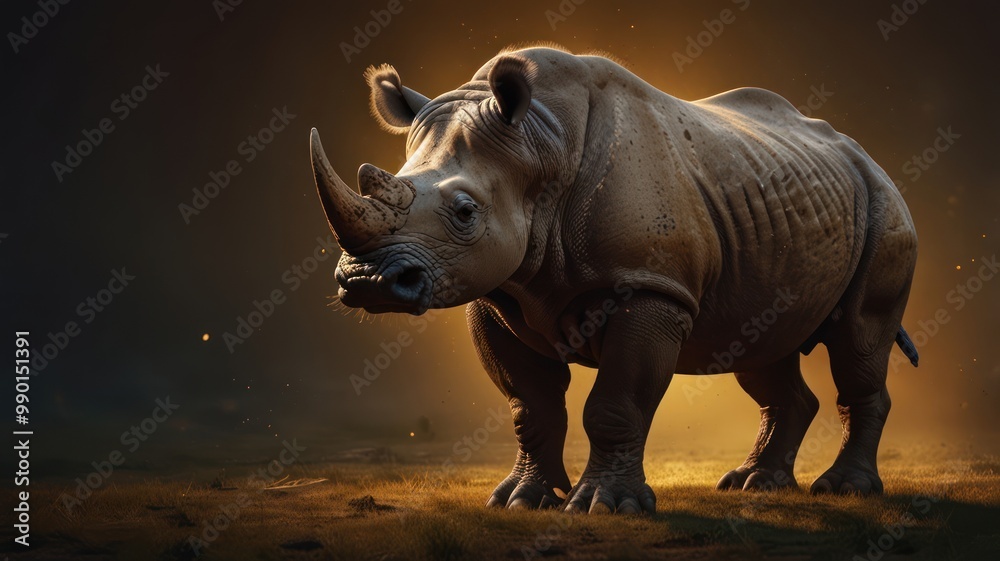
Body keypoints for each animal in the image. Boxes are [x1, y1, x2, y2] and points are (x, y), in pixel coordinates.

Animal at [310, 46, 919, 514]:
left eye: (465, 211)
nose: (367, 281)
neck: (541, 143)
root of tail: (863, 154)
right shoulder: (496, 291)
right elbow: (531, 407)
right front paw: (520, 501)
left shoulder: (649, 287)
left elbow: (616, 400)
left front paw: (605, 506)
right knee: (761, 343)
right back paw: (755, 485)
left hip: (884, 205)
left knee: (858, 339)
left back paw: (845, 490)